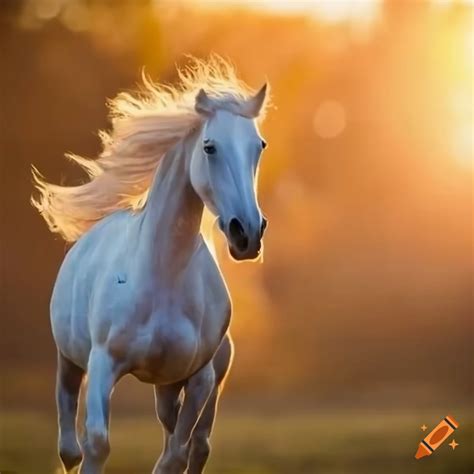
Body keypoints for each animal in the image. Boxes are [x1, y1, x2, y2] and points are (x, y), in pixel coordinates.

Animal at [32, 56, 270, 474]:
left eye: (259, 145)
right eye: (209, 147)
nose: (248, 234)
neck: (163, 277)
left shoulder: (200, 378)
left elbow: (177, 452)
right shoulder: (103, 365)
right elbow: (97, 444)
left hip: (184, 382)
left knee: (197, 443)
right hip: (70, 362)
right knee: (69, 445)